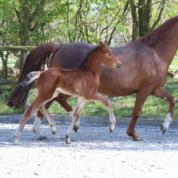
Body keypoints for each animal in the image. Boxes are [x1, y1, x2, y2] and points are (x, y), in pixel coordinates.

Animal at [8, 15, 178, 140]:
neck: (155, 53)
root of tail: (59, 46)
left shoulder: (155, 89)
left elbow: (171, 99)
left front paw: (164, 126)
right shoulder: (145, 90)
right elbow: (136, 111)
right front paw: (133, 135)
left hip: (61, 89)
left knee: (50, 104)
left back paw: (55, 129)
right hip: (58, 89)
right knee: (45, 105)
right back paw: (46, 131)